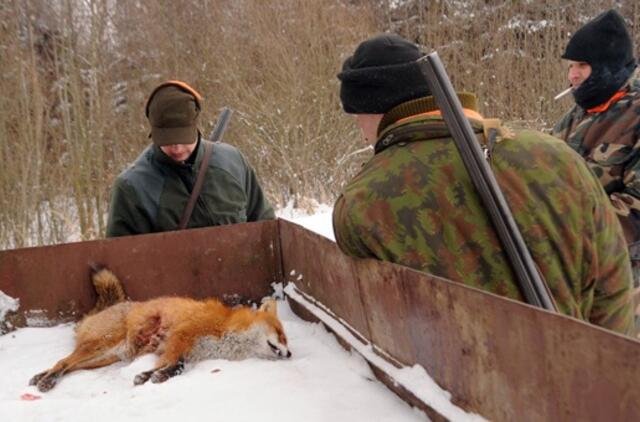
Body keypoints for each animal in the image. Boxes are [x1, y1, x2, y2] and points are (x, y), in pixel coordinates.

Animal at [28, 268, 292, 390]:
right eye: (281, 335)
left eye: (286, 340)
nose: (290, 354)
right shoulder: (181, 336)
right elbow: (172, 362)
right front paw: (150, 375)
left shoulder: (187, 350)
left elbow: (177, 366)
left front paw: (152, 375)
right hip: (100, 346)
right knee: (63, 362)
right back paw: (47, 381)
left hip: (104, 357)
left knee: (68, 365)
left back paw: (41, 376)